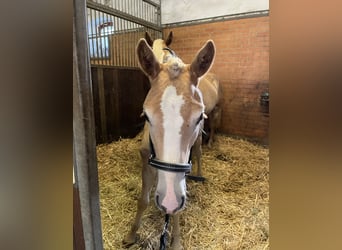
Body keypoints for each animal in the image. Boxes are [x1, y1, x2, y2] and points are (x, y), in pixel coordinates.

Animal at [123, 37, 216, 248]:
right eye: (146, 116)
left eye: (199, 117)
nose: (169, 201)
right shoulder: (146, 161)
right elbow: (143, 199)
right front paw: (131, 235)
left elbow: (177, 206)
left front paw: (176, 242)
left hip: (198, 142)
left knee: (198, 152)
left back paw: (199, 174)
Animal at [144, 30, 222, 178]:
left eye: (166, 53)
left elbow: (197, 150)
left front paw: (199, 173)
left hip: (216, 109)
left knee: (214, 125)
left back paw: (210, 142)